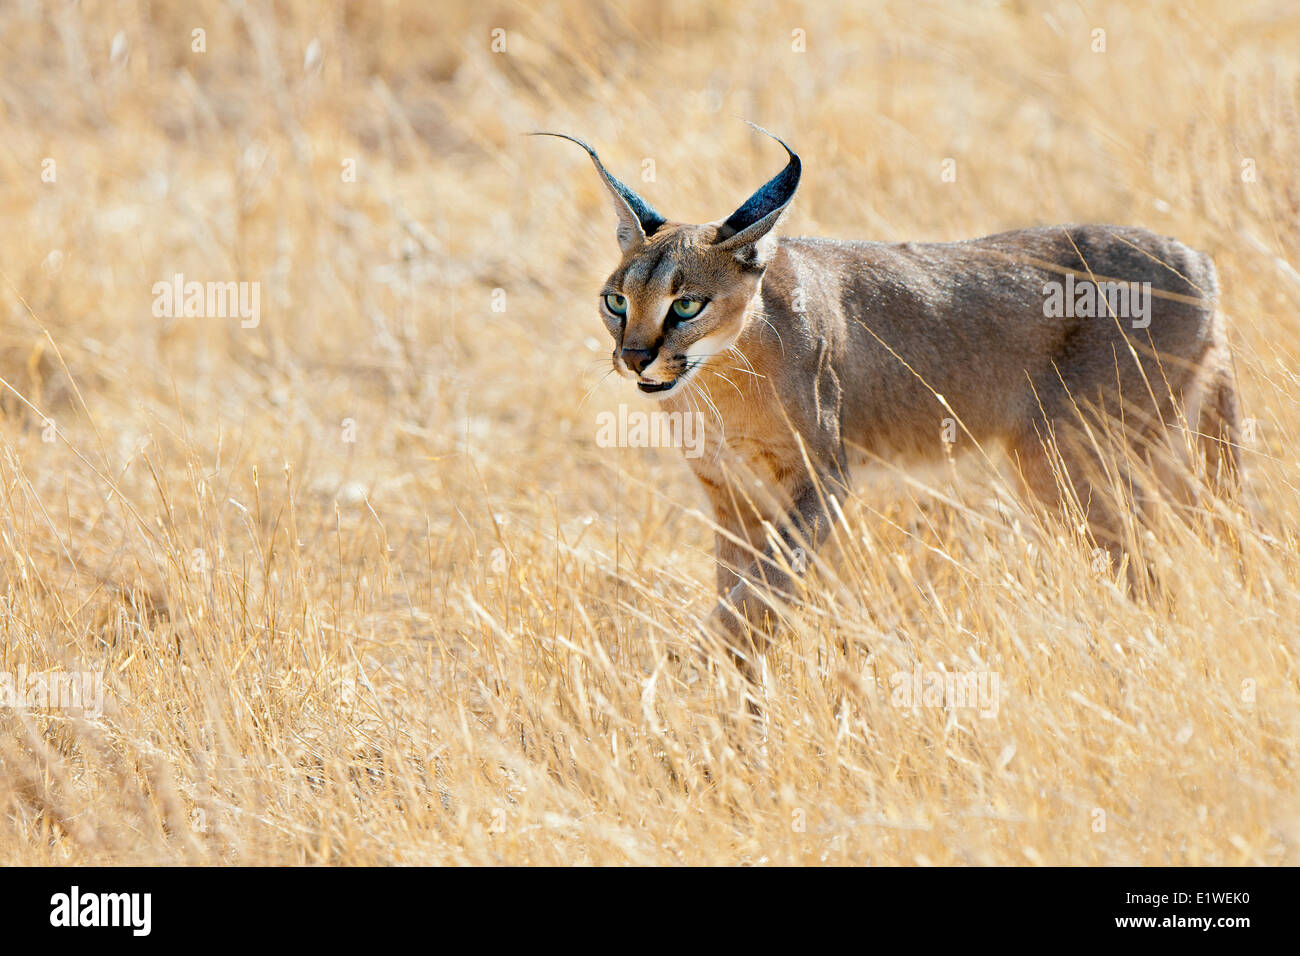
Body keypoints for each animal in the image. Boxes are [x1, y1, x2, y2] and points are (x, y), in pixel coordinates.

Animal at [535, 127, 1237, 676]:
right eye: (616, 301)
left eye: (685, 305)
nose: (633, 357)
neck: (717, 386)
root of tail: (1198, 257)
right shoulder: (732, 498)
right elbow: (743, 594)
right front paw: (733, 699)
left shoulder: (819, 480)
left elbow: (760, 594)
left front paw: (701, 682)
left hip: (1065, 456)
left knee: (1152, 566)